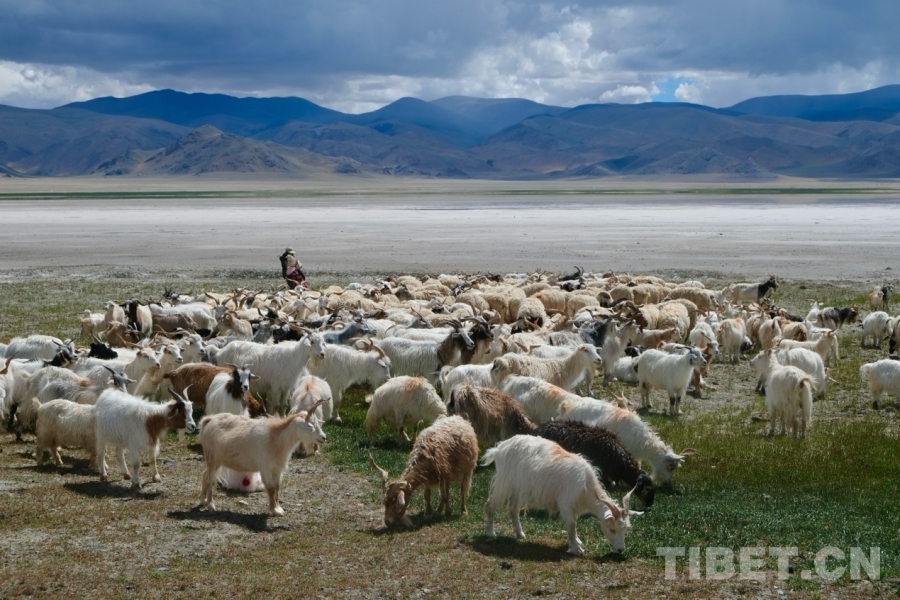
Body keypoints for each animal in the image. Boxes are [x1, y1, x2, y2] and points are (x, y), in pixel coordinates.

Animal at [198, 405, 326, 515]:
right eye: (309, 426)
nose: (323, 437)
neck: (275, 439)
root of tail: (209, 420)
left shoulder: (277, 469)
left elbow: (277, 488)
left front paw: (279, 508)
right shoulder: (265, 468)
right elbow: (270, 488)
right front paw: (274, 511)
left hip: (217, 461)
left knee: (205, 475)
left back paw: (203, 500)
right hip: (212, 458)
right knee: (210, 479)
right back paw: (210, 504)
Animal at [482, 435, 641, 556]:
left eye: (625, 529)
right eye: (612, 529)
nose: (620, 550)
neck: (586, 486)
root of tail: (499, 448)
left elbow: (572, 526)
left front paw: (576, 542)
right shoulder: (566, 503)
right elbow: (571, 526)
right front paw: (577, 549)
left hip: (518, 488)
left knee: (513, 509)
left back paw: (520, 534)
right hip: (504, 482)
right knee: (490, 504)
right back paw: (491, 533)